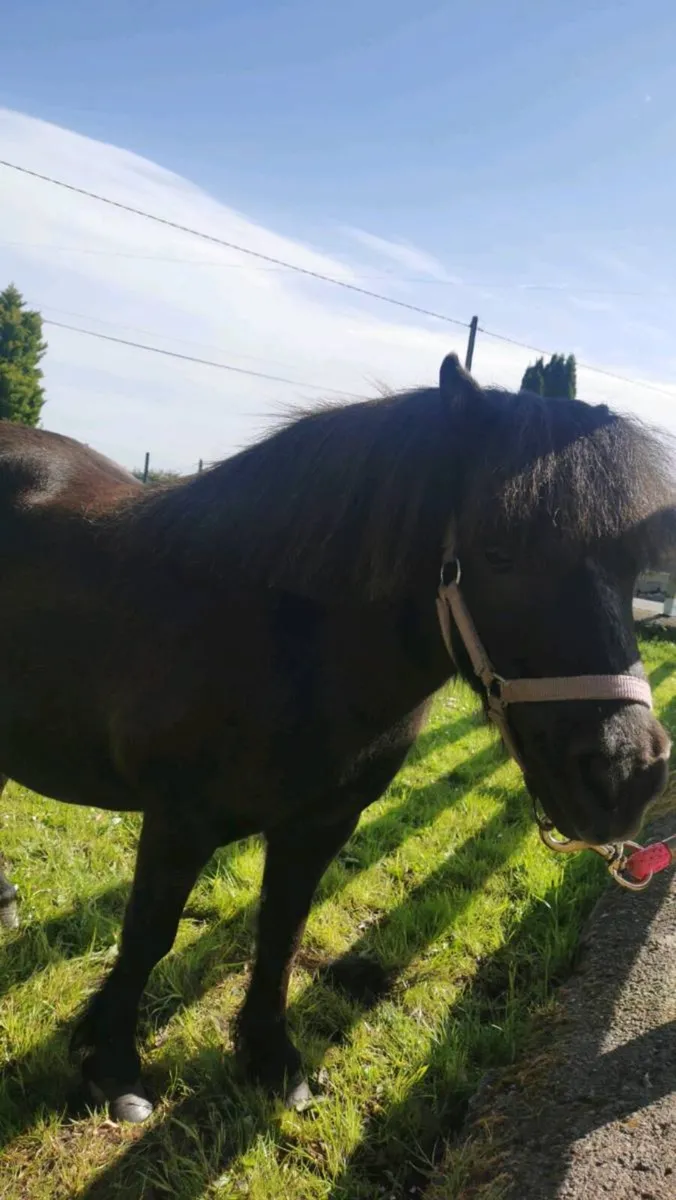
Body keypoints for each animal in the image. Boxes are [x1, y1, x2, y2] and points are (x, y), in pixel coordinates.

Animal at [0, 354, 672, 1123]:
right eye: (498, 552)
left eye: (631, 566)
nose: (629, 774)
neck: (283, 640)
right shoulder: (178, 820)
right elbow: (149, 933)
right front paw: (111, 1068)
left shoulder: (322, 823)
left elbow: (281, 930)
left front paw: (269, 1059)